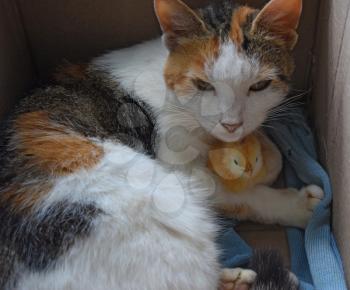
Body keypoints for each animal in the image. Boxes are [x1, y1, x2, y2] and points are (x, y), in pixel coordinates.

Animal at [0, 0, 324, 288]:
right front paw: (297, 206)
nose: (231, 123)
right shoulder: (180, 165)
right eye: (203, 85)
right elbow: (238, 194)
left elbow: (272, 155)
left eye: (259, 86)